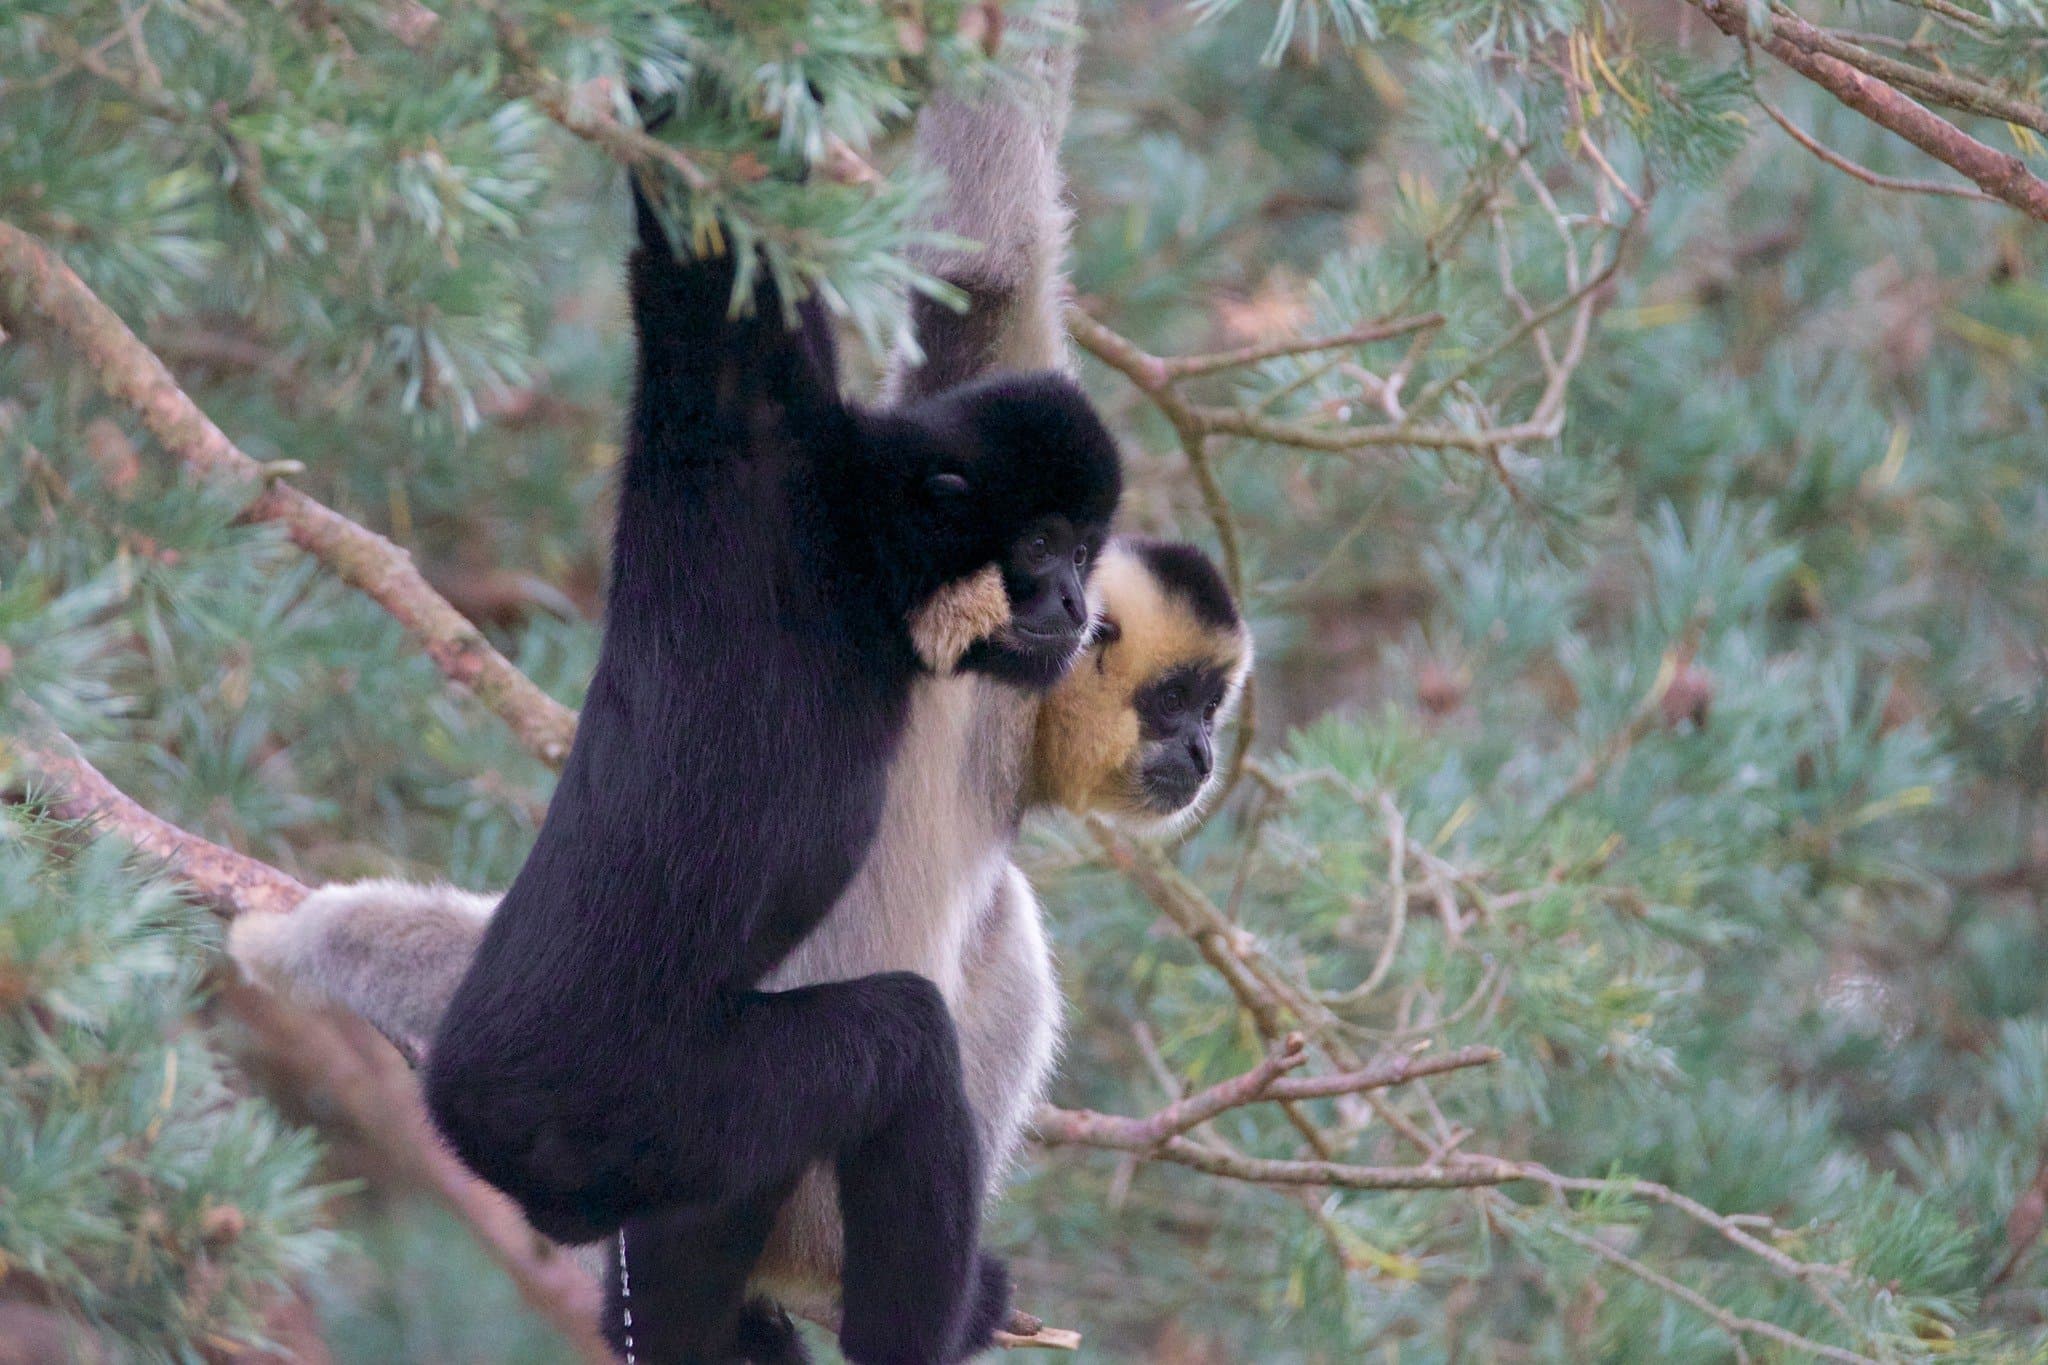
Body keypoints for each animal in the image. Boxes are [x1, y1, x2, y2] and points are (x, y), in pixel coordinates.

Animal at [413, 141, 1121, 1365]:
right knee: (899, 1047)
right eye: (1043, 549)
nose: (1076, 603)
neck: (852, 558)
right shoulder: (760, 458)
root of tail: (472, 1100)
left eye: (1085, 552)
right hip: (639, 1113)